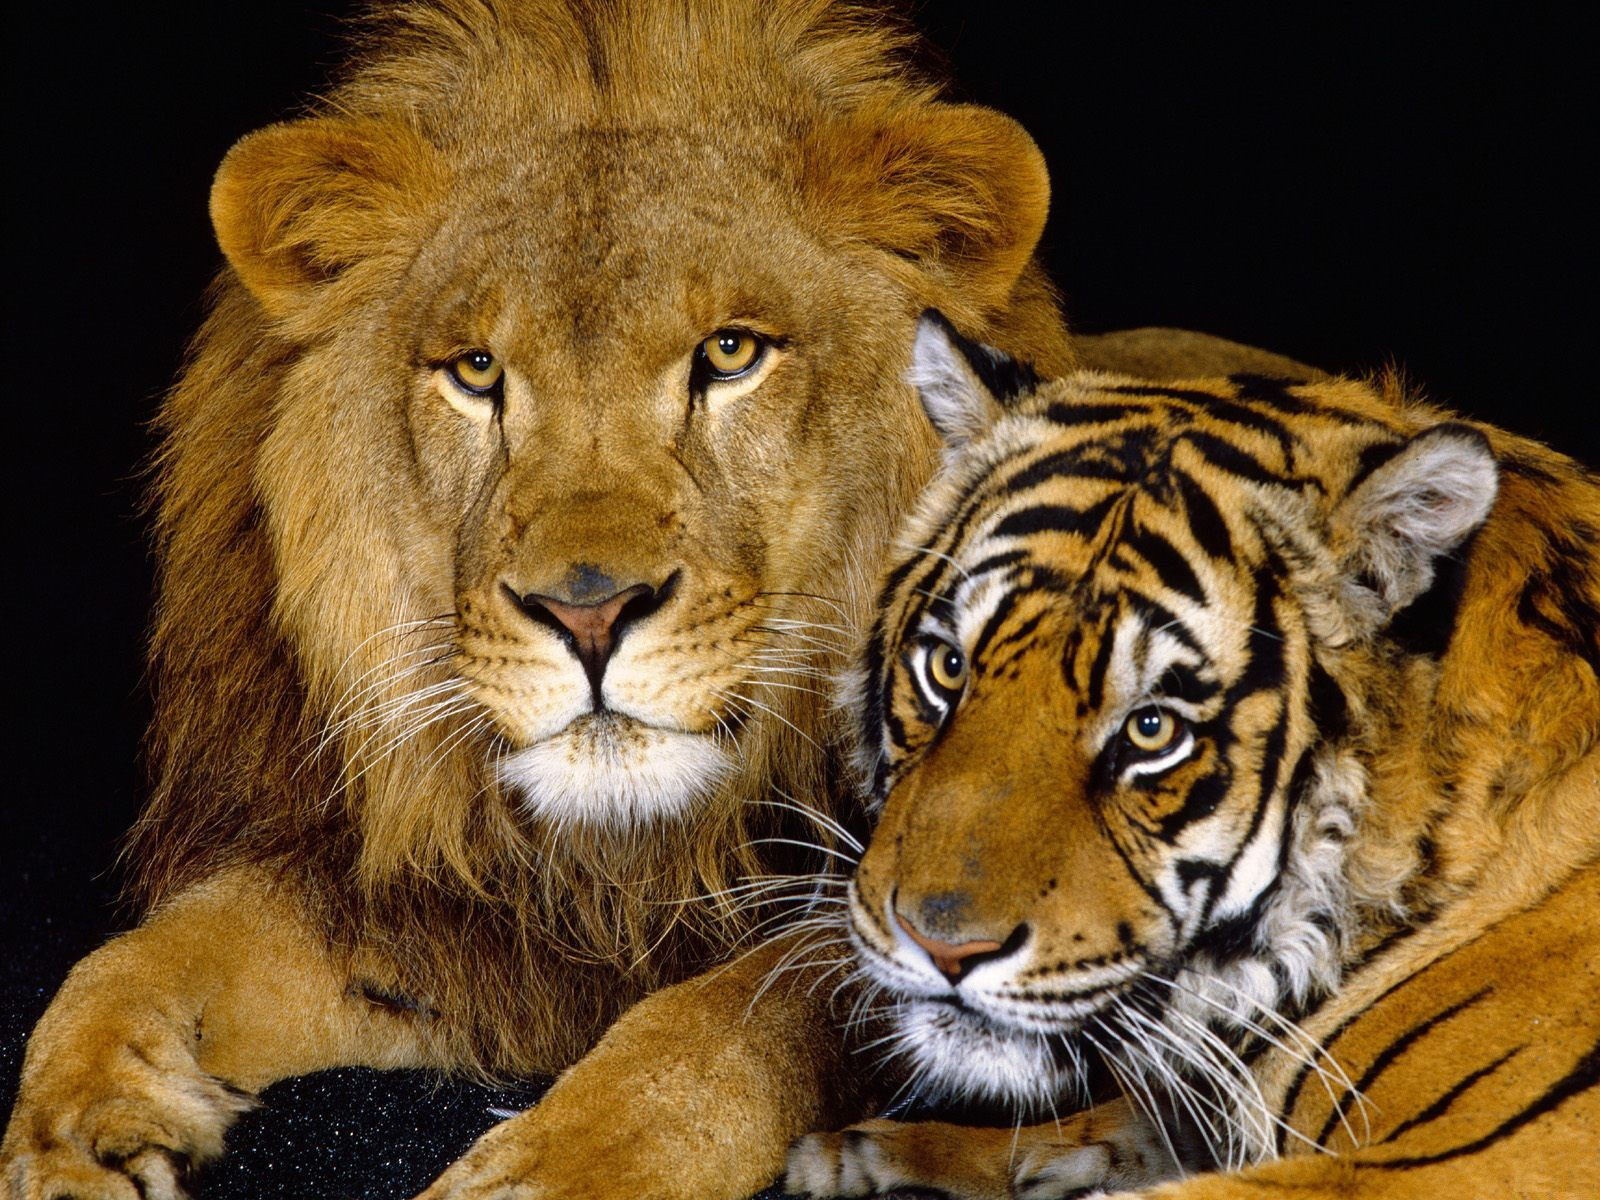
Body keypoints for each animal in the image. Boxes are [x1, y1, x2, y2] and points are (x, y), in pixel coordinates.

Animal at [1, 3, 1316, 1198]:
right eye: (476, 370)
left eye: (731, 353)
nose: (588, 613)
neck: (626, 857)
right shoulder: (443, 915)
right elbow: (141, 960)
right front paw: (76, 1134)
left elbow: (729, 1022)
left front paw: (554, 1168)